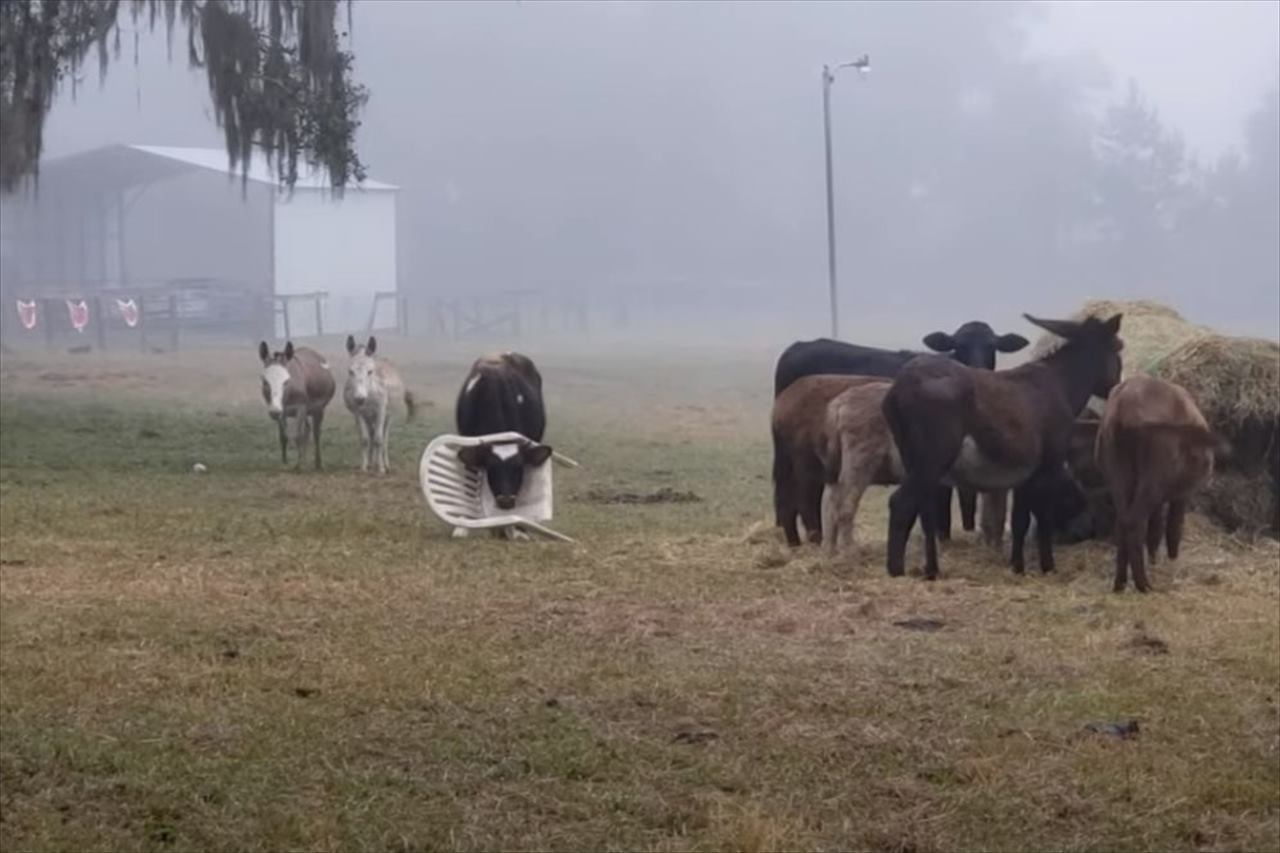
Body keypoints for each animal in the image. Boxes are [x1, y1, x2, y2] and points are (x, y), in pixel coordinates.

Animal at [768, 322, 1029, 540]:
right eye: (959, 346)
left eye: (992, 346)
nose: (978, 370)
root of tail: (798, 347)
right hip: (805, 460)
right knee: (806, 497)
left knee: (787, 496)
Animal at [880, 312, 1121, 578]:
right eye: (1118, 348)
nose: (1117, 386)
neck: (1061, 384)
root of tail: (899, 389)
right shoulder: (1049, 466)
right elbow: (1042, 517)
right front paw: (1047, 566)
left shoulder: (1025, 473)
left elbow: (1019, 520)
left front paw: (1017, 566)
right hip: (932, 459)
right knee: (901, 504)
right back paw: (896, 571)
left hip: (912, 458)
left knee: (923, 512)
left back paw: (930, 569)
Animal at [1090, 376, 1218, 589]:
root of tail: (1124, 406)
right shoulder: (1181, 494)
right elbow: (1174, 527)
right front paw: (1172, 562)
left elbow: (1155, 528)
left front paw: (1154, 561)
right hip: (1152, 480)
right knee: (1134, 523)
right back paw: (1143, 585)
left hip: (1120, 474)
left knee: (1122, 523)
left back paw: (1120, 583)